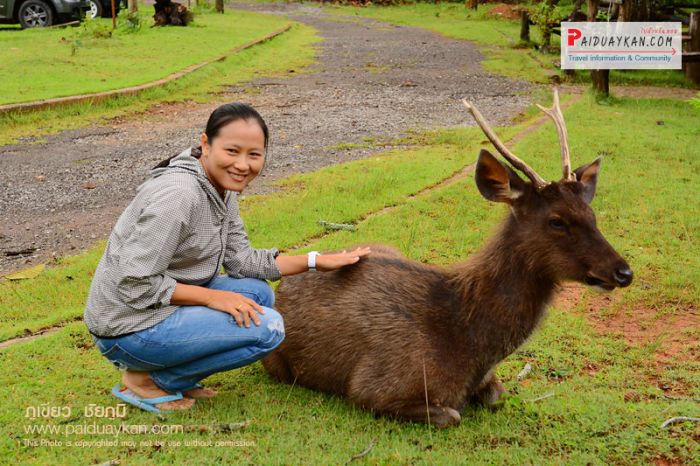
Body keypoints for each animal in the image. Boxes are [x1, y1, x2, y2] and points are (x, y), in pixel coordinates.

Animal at [262, 89, 636, 428]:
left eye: (591, 214)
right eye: (556, 220)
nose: (623, 272)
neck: (469, 343)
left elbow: (498, 397)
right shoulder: (374, 387)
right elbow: (452, 415)